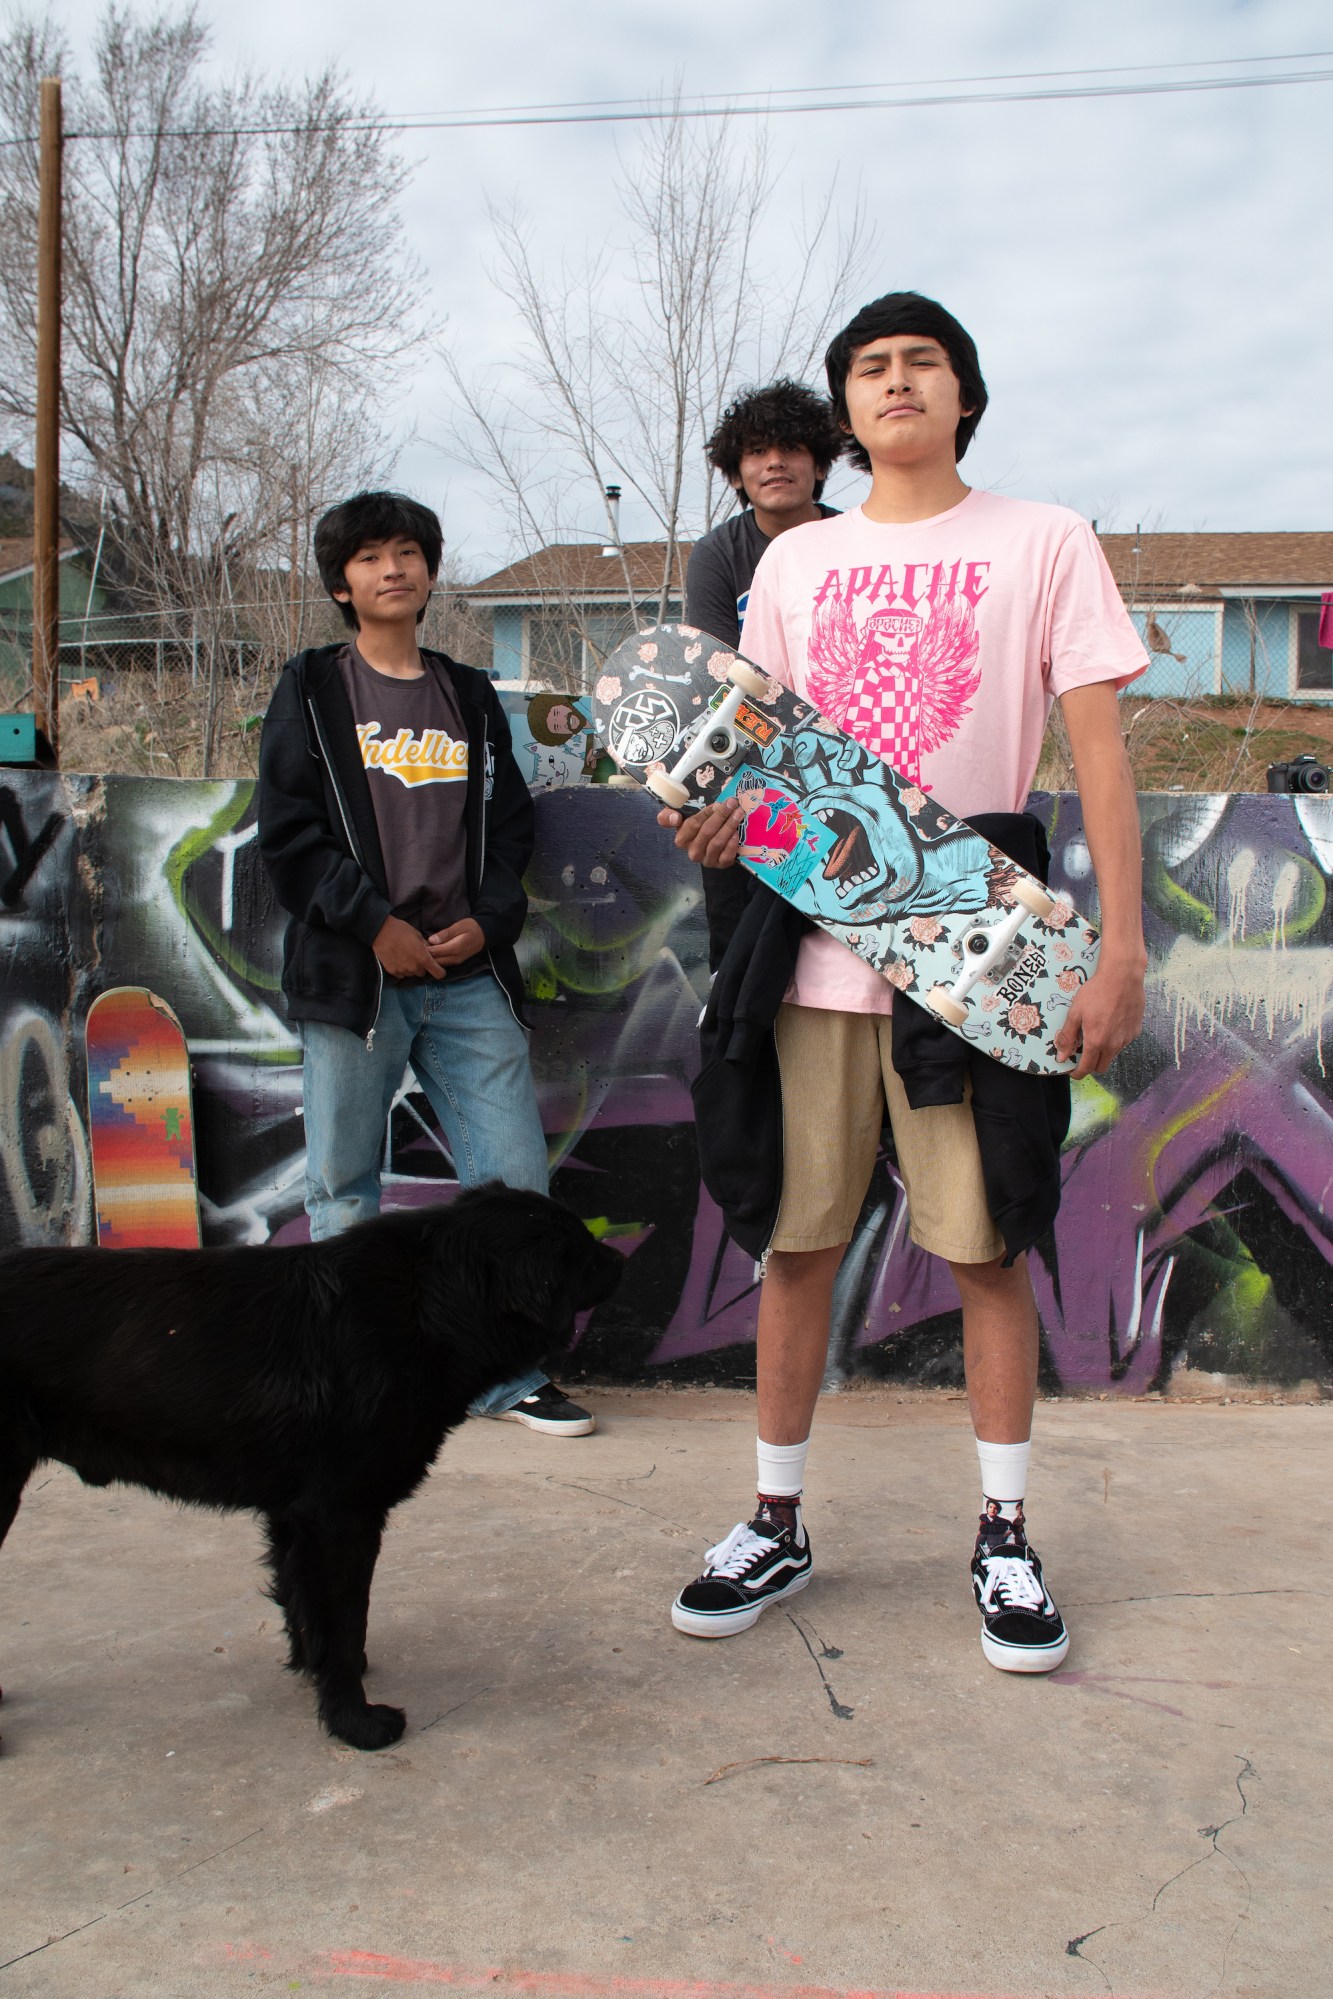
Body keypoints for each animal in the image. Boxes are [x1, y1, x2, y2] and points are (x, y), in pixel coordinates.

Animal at [0, 1183, 627, 1751]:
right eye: (580, 1251)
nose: (621, 1260)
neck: (426, 1302)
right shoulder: (339, 1515)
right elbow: (344, 1619)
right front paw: (356, 1722)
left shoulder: (295, 1515)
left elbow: (308, 1604)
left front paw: (313, 1671)